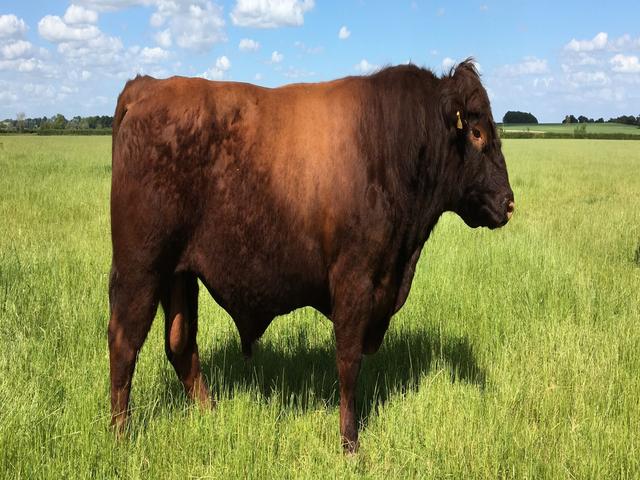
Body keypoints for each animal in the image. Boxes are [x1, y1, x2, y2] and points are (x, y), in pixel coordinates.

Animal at [108, 59, 514, 452]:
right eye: (477, 133)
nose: (508, 203)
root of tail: (147, 86)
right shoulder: (354, 280)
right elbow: (348, 361)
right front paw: (350, 443)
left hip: (179, 274)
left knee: (180, 343)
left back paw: (211, 416)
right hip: (141, 267)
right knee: (124, 342)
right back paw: (121, 436)